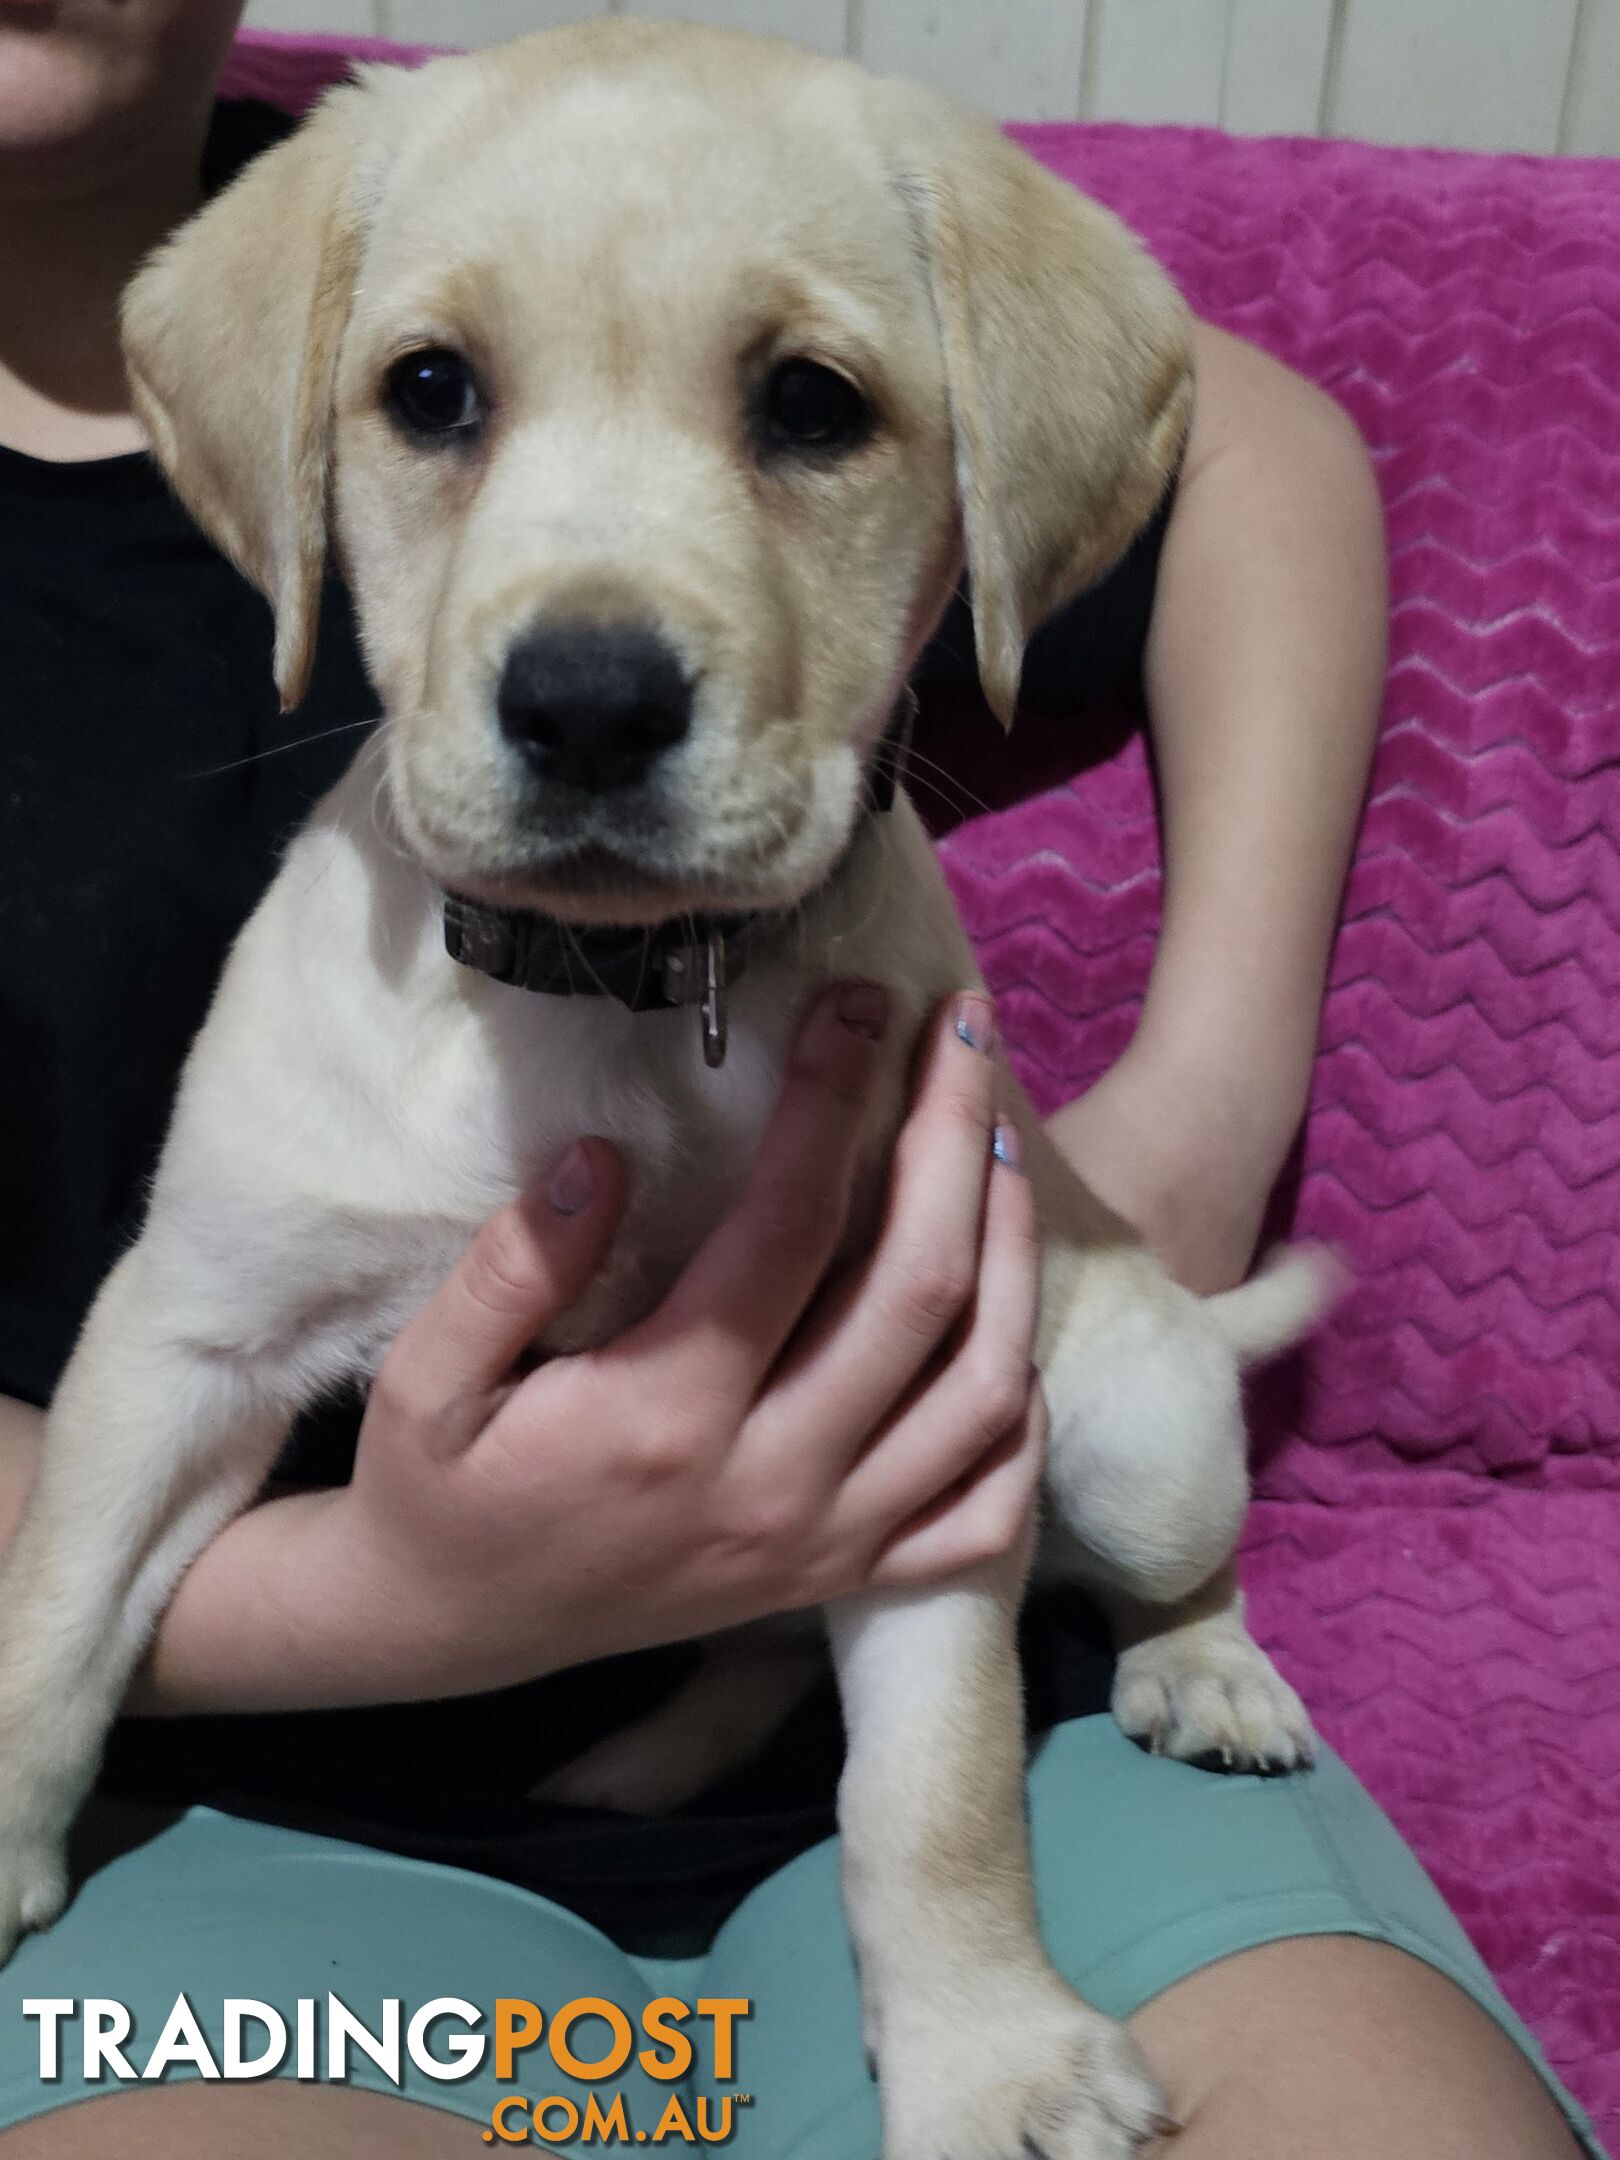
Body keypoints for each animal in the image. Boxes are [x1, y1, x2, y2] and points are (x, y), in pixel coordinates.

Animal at [0, 21, 1330, 2160]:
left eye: (811, 406)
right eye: (429, 392)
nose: (590, 706)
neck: (621, 999)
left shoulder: (926, 1421)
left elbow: (938, 1799)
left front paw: (992, 2052)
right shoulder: (188, 1330)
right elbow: (52, 1615)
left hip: (1127, 1422)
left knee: (1167, 1563)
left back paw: (1204, 1674)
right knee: (761, 1641)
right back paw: (641, 1760)